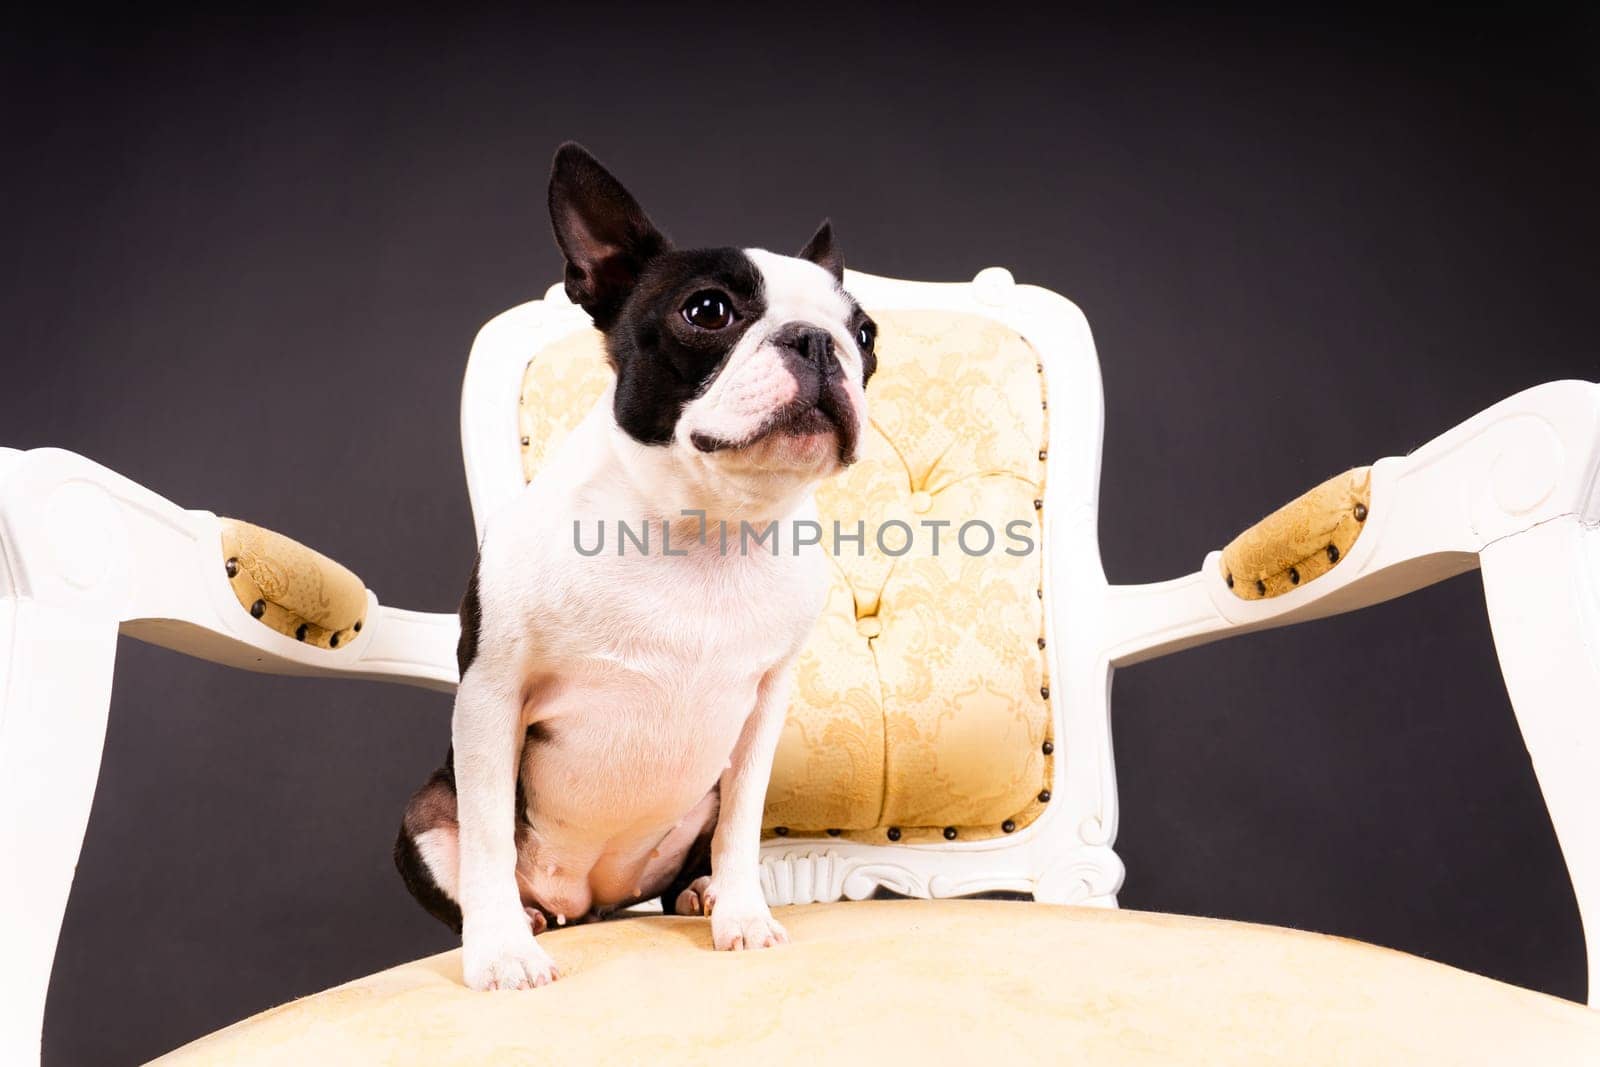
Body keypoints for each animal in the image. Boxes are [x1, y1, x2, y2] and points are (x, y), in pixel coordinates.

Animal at [395, 143, 883, 991]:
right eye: (709, 310)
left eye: (864, 330)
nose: (819, 341)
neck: (707, 526)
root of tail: (593, 900)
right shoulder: (491, 694)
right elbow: (486, 837)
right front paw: (501, 953)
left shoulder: (764, 707)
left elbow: (742, 826)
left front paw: (742, 913)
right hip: (423, 815)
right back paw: (524, 920)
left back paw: (699, 892)